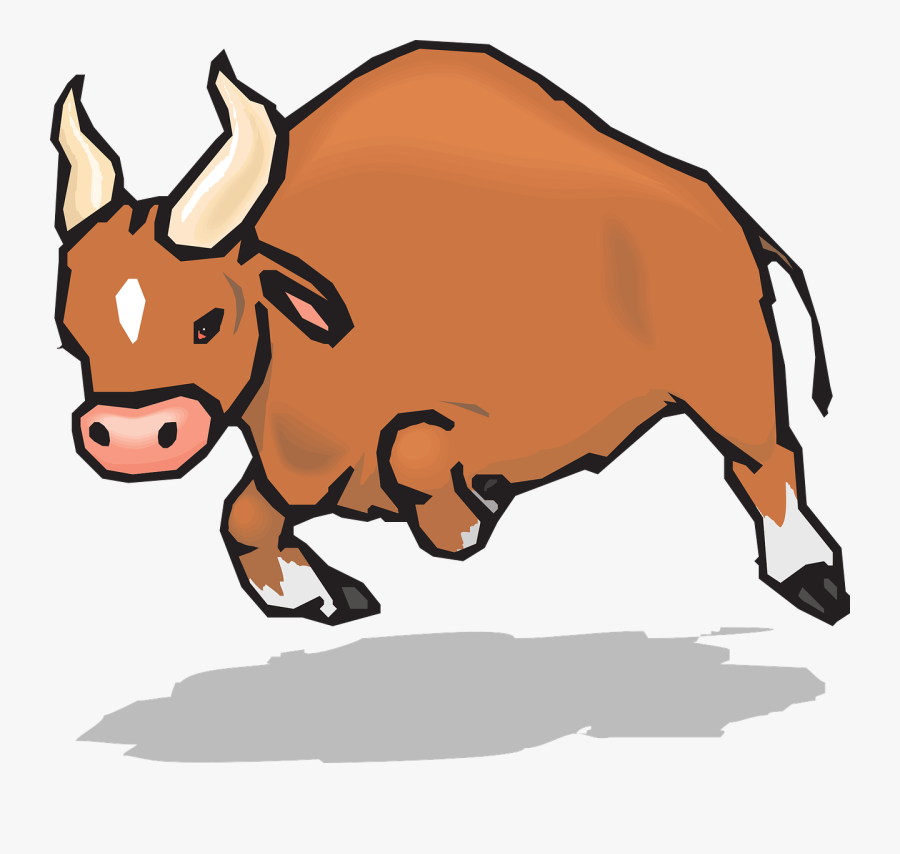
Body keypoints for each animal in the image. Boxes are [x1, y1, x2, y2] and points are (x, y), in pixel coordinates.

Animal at [51, 41, 849, 627]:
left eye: (208, 321)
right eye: (70, 334)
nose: (132, 437)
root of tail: (730, 215)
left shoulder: (515, 420)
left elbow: (414, 449)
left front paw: (471, 513)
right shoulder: (294, 462)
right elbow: (243, 516)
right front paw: (319, 594)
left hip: (731, 376)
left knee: (765, 459)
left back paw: (813, 577)